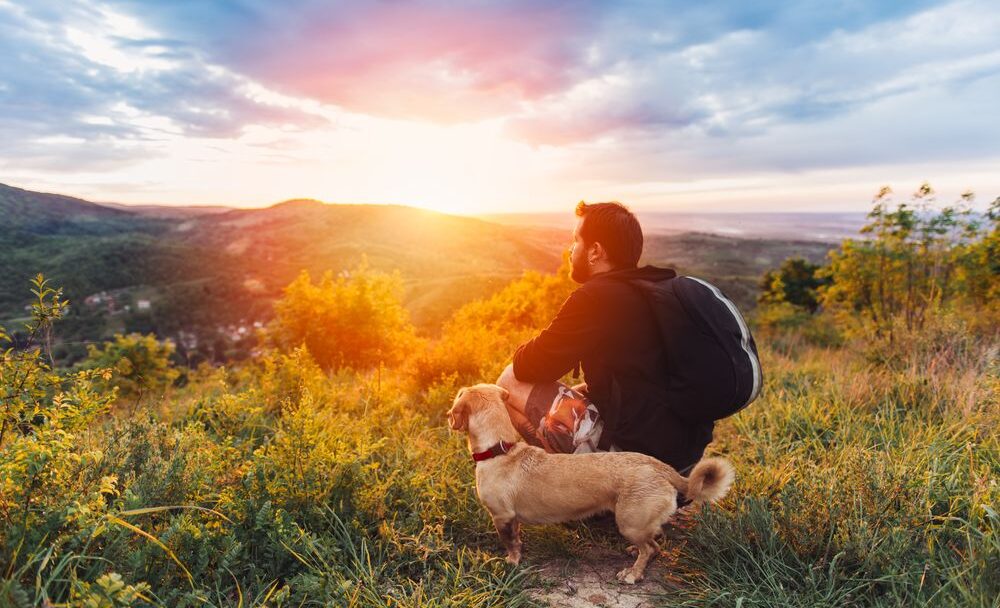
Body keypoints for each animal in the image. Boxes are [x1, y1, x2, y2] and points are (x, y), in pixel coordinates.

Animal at [446, 382, 736, 580]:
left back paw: (633, 574)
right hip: (638, 523)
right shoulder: (511, 518)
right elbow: (517, 538)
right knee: (654, 541)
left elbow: (510, 544)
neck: (501, 449)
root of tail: (662, 468)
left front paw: (512, 562)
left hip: (628, 522)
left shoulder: (501, 516)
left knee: (650, 548)